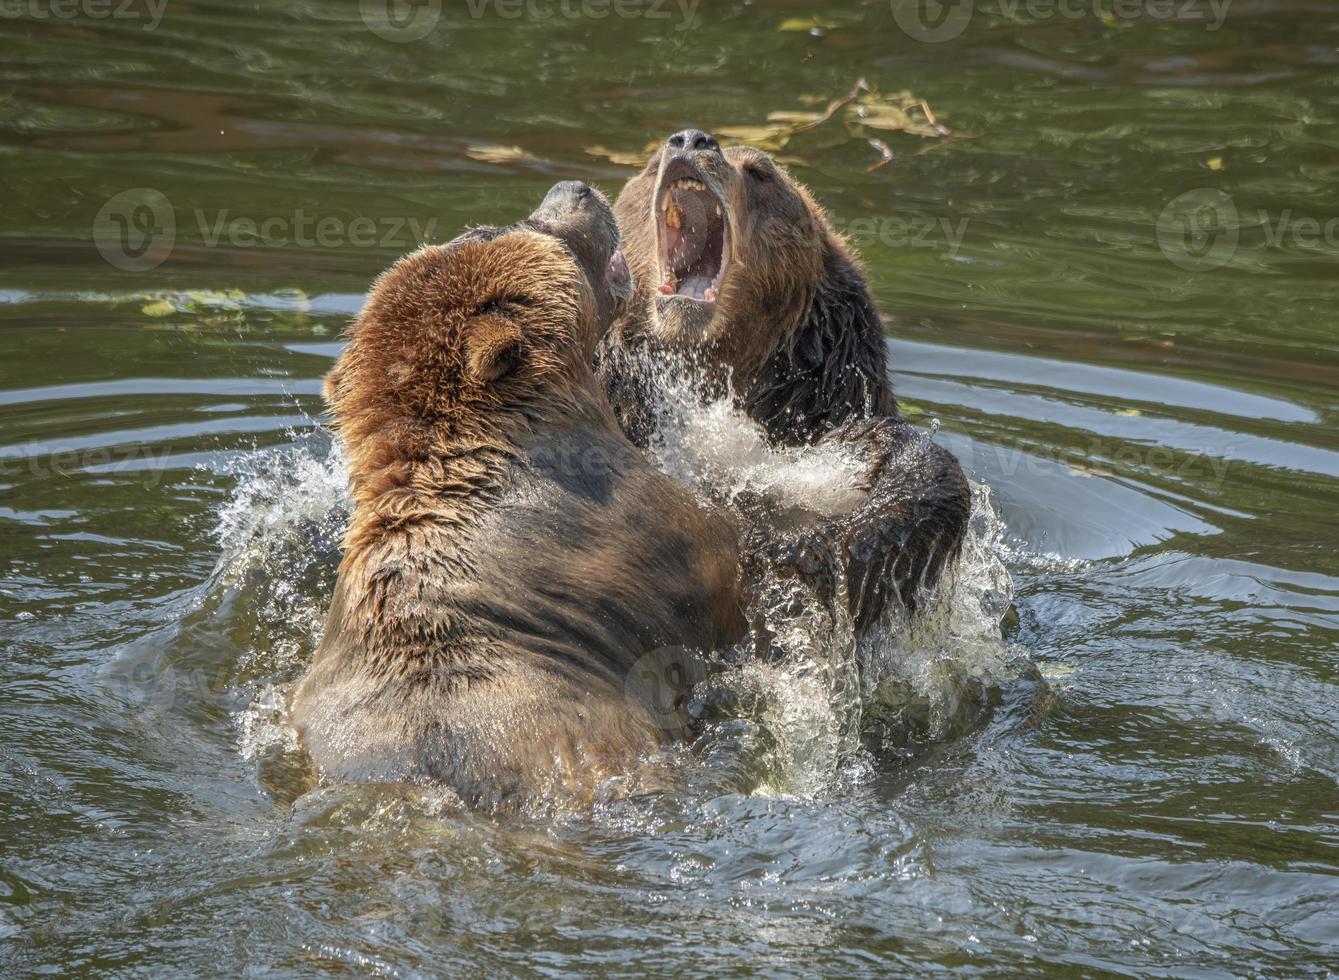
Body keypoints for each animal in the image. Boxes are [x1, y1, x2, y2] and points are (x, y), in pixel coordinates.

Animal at [599, 128, 974, 626]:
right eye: (647, 167)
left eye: (761, 172)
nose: (692, 139)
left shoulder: (828, 404)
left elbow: (917, 469)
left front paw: (792, 553)